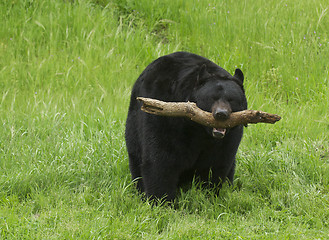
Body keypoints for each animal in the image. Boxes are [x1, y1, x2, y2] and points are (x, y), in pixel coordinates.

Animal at [125, 52, 246, 201]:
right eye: (212, 98)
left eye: (231, 99)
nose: (221, 114)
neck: (199, 130)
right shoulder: (166, 119)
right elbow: (161, 160)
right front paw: (161, 199)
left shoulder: (229, 138)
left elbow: (217, 163)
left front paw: (208, 195)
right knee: (136, 155)